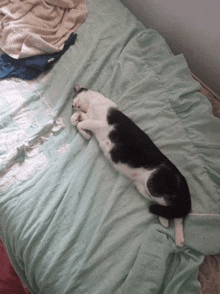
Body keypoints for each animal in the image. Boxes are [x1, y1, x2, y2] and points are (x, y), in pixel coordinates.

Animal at [70, 85, 191, 248]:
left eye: (74, 97)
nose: (71, 105)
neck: (91, 104)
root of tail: (181, 177)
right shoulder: (89, 117)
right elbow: (79, 118)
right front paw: (77, 121)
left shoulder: (101, 123)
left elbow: (83, 123)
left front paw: (84, 131)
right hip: (145, 190)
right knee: (170, 210)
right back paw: (165, 222)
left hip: (154, 185)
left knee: (178, 213)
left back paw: (178, 237)